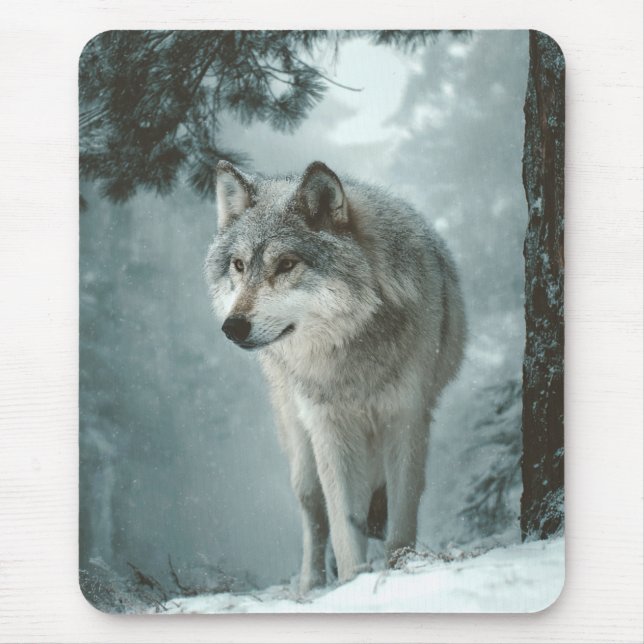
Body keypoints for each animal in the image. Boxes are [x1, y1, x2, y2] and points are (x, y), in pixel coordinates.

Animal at [205, 160, 465, 593]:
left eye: (286, 264)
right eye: (238, 266)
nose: (232, 327)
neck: (352, 352)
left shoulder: (407, 420)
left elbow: (402, 518)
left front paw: (400, 568)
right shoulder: (329, 427)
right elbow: (342, 522)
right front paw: (352, 583)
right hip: (299, 442)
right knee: (314, 512)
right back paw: (310, 584)